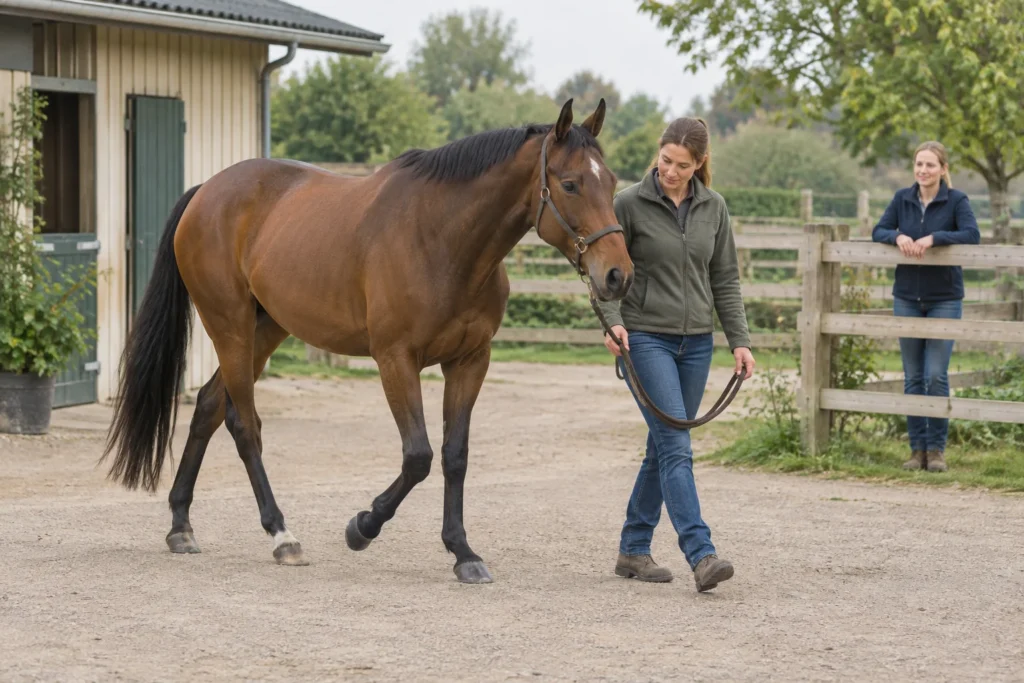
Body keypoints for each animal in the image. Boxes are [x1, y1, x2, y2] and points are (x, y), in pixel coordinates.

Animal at [100, 98, 633, 583]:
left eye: (610, 182)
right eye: (570, 184)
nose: (617, 276)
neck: (442, 239)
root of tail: (206, 192)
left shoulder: (470, 361)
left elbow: (454, 456)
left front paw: (462, 551)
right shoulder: (395, 359)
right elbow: (418, 456)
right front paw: (362, 527)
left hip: (265, 328)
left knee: (210, 407)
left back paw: (181, 524)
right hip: (228, 325)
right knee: (243, 424)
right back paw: (282, 536)